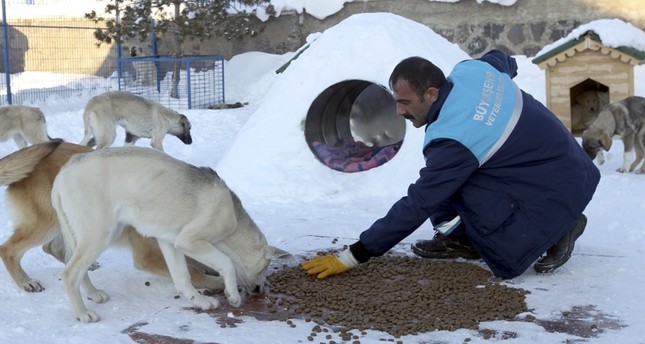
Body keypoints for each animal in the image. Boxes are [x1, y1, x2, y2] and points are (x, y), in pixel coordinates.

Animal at [0, 141, 223, 292]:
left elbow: (194, 260)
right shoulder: (147, 255)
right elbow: (192, 271)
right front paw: (217, 282)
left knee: (53, 248)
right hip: (47, 224)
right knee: (8, 249)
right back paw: (25, 281)